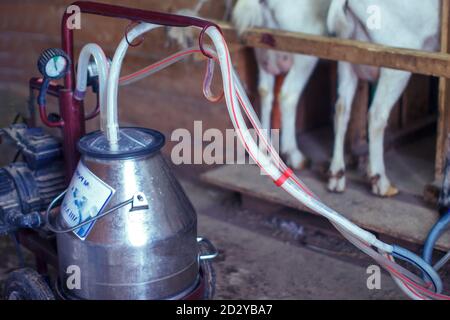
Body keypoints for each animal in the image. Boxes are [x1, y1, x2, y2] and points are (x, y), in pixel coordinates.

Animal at [232, 0, 330, 170]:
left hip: (263, 51)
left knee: (265, 91)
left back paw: (264, 150)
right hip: (304, 52)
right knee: (288, 96)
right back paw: (294, 154)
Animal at [326, 0, 440, 196]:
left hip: (347, 53)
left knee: (341, 108)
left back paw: (337, 175)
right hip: (395, 61)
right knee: (377, 114)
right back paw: (381, 182)